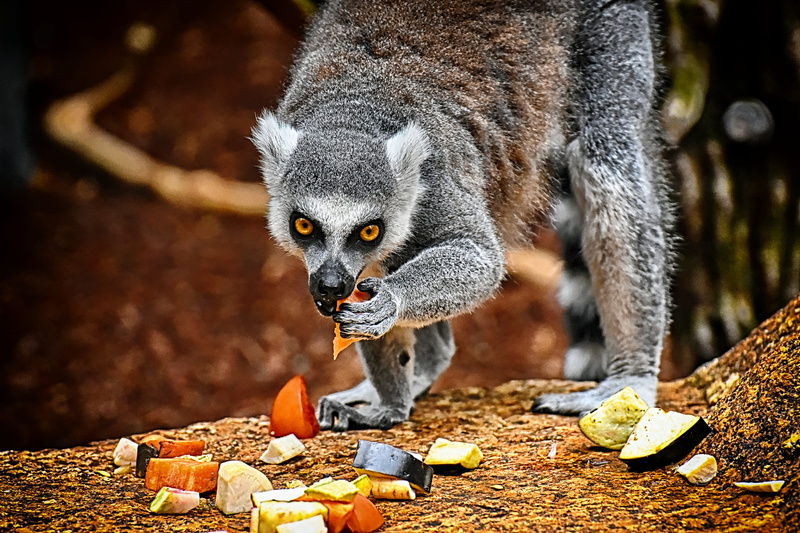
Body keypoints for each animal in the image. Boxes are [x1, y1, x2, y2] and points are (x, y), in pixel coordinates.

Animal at [251, 0, 674, 431]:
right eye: (304, 225)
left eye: (368, 231)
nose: (331, 285)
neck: (354, 107)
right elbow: (379, 270)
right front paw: (390, 396)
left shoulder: (434, 180)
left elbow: (479, 258)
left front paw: (389, 304)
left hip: (608, 29)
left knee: (607, 161)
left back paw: (632, 377)